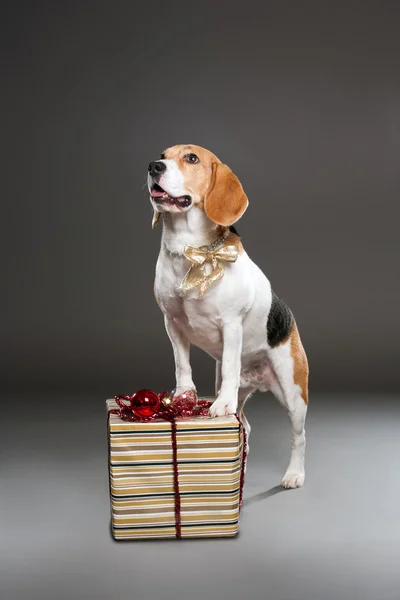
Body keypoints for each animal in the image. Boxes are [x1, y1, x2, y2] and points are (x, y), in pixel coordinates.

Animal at [148, 145, 310, 488]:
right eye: (163, 154)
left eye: (191, 158)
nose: (154, 166)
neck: (191, 251)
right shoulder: (172, 322)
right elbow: (182, 364)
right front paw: (184, 395)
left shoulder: (231, 324)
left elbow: (232, 363)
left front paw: (221, 404)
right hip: (241, 388)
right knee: (244, 424)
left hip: (293, 392)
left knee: (298, 436)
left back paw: (294, 474)